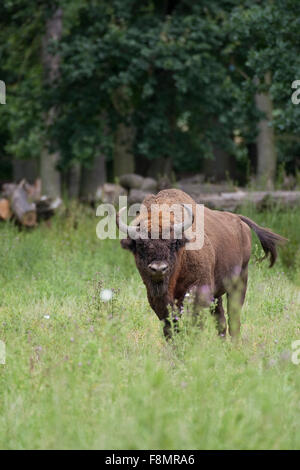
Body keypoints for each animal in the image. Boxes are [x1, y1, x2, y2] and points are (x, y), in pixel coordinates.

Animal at [116, 189, 288, 340]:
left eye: (173, 243)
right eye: (140, 245)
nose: (159, 268)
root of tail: (239, 221)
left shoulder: (199, 292)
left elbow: (194, 325)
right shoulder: (158, 299)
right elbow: (170, 327)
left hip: (239, 281)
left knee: (233, 318)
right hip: (217, 292)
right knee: (221, 321)